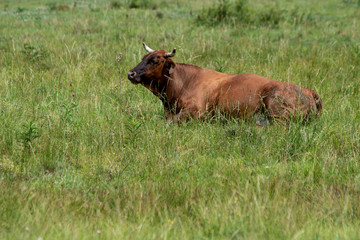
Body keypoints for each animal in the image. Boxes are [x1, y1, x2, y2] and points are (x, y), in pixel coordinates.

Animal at [128, 43, 322, 125]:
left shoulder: (196, 111)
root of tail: (309, 91)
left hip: (275, 109)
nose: (131, 73)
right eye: (143, 57)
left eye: (155, 60)